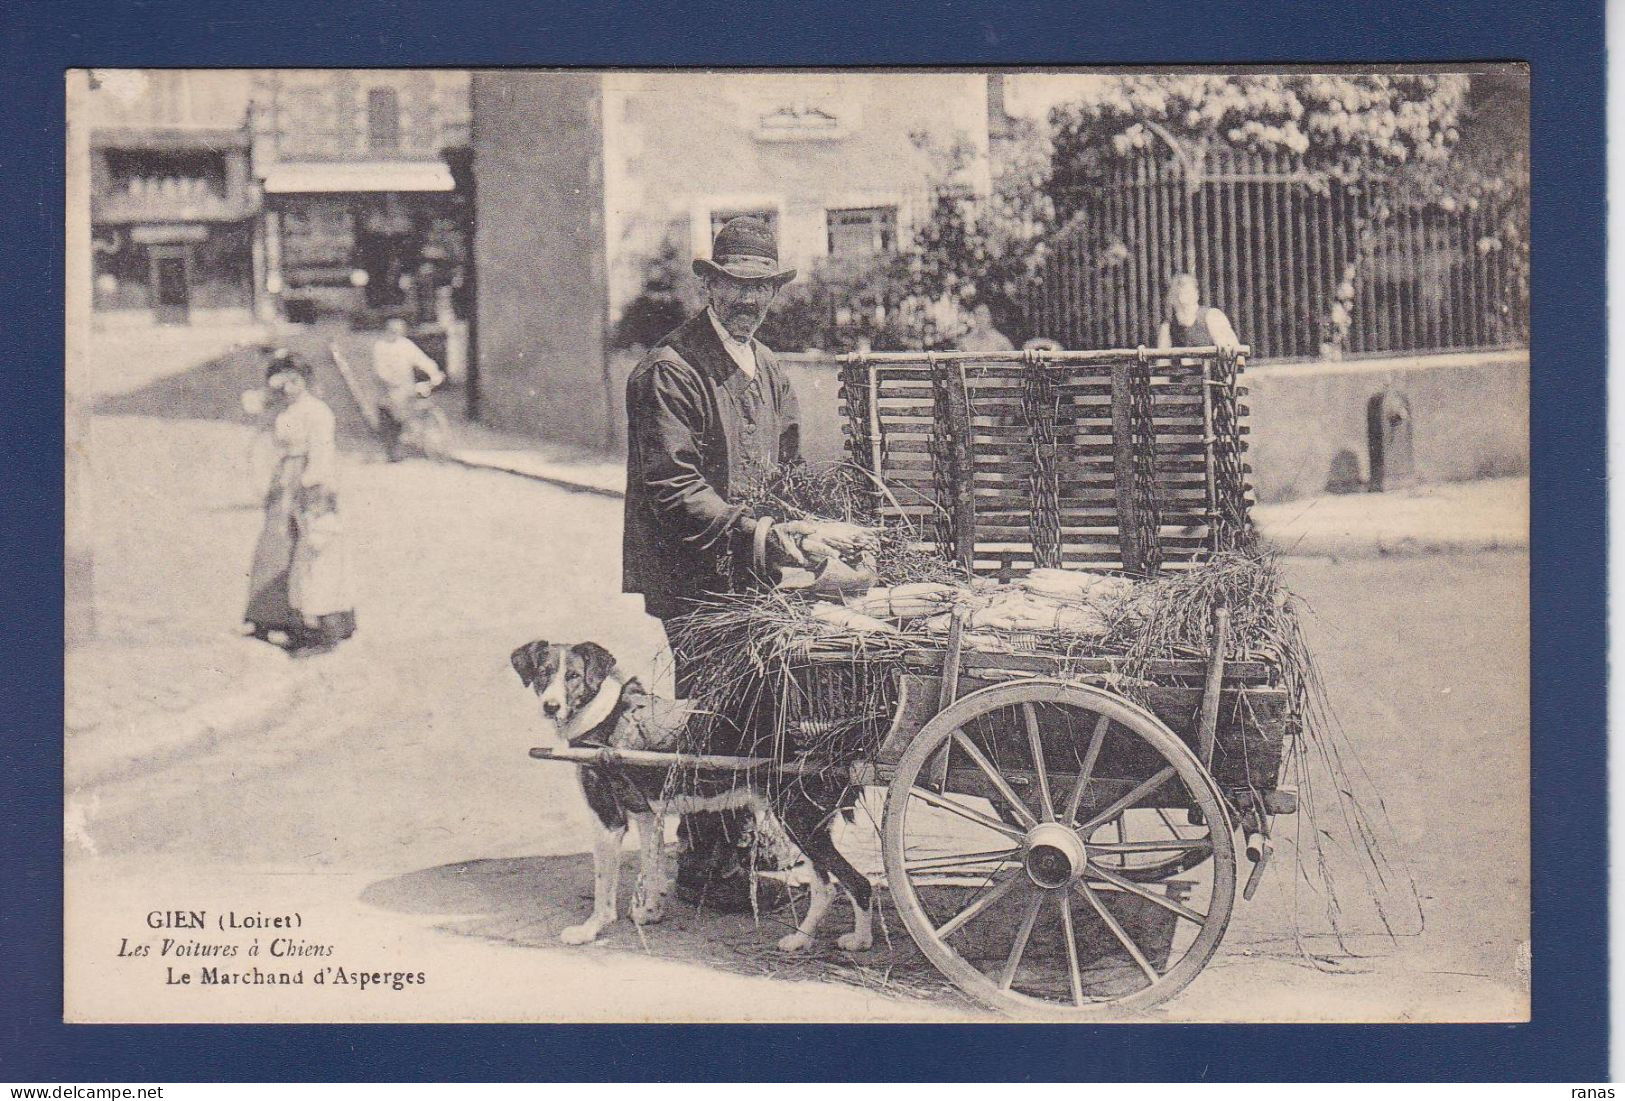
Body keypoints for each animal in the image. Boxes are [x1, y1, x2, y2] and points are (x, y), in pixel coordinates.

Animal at [516, 643, 877, 954]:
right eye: (544, 673)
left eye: (573, 675)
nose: (550, 706)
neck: (604, 717)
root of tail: (835, 737)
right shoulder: (645, 813)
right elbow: (652, 867)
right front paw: (651, 912)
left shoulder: (608, 819)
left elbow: (603, 887)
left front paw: (590, 929)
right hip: (806, 824)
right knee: (828, 886)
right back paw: (803, 940)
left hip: (798, 821)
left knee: (854, 883)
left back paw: (859, 941)